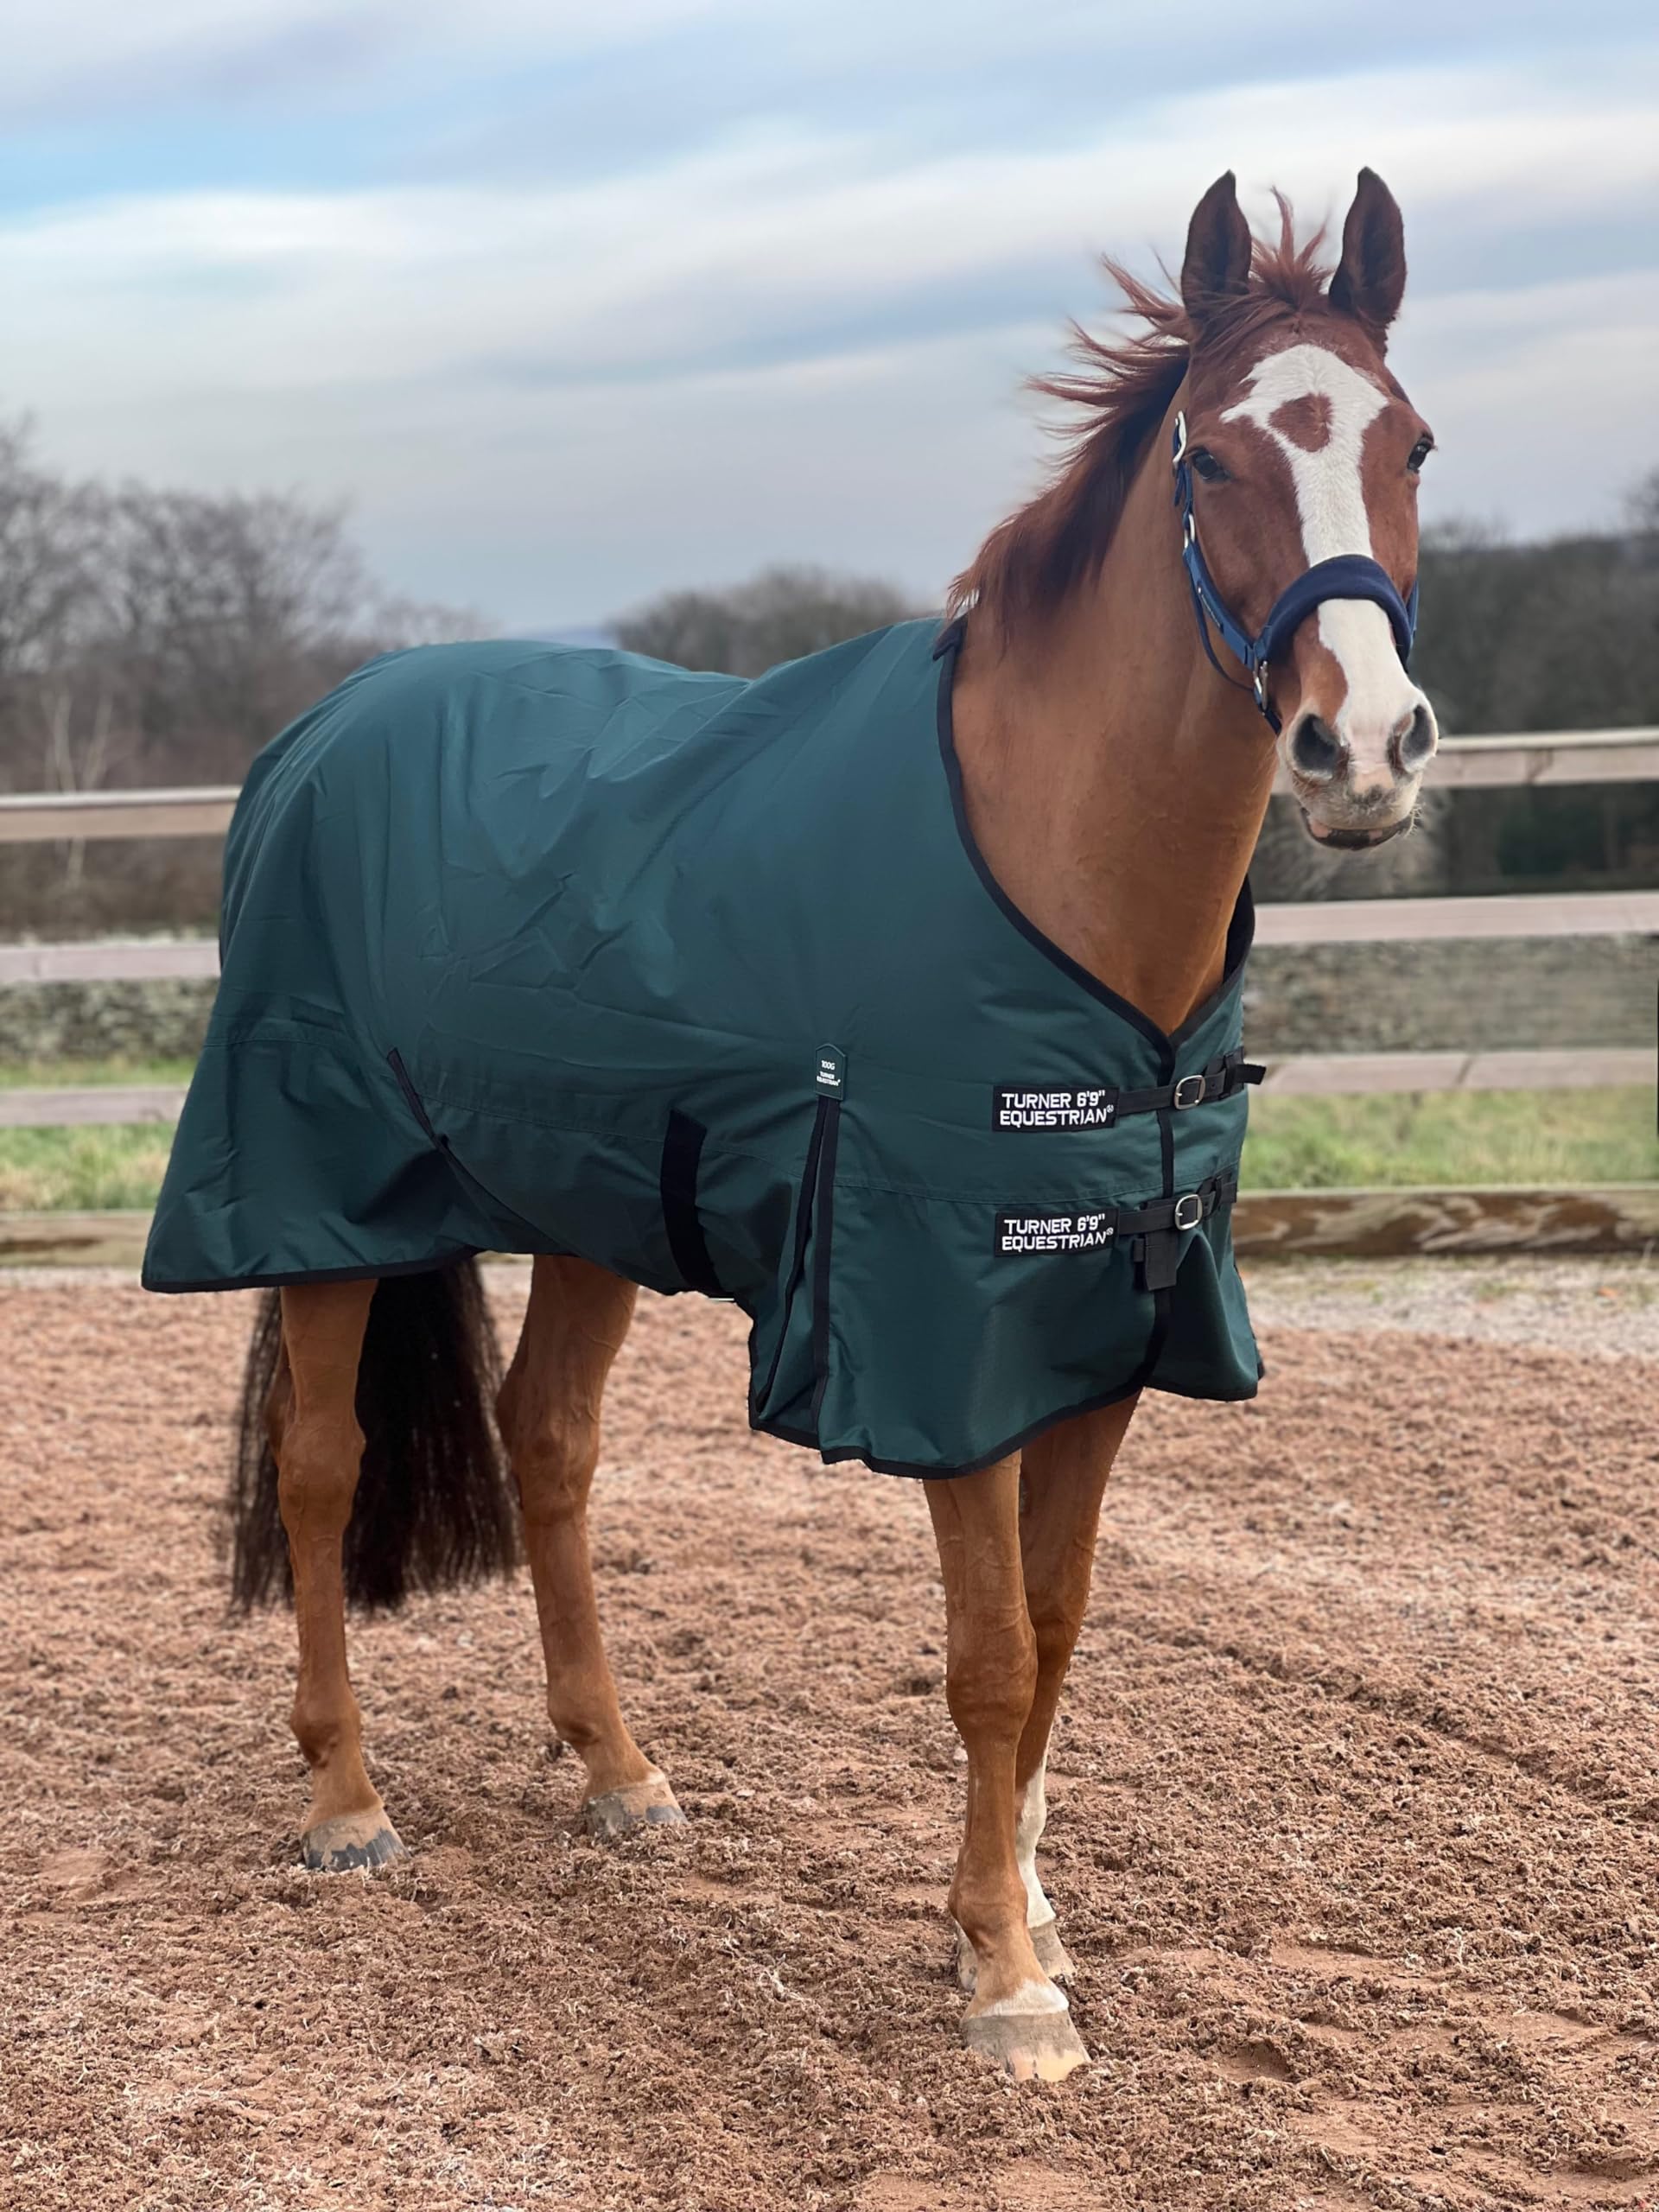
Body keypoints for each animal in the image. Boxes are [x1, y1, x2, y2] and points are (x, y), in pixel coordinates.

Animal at [151, 168, 1438, 2084]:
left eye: (1411, 443)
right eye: (1211, 460)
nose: (1365, 751)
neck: (1066, 889)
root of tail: (317, 733)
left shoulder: (1104, 1335)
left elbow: (1058, 1630)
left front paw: (1028, 1911)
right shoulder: (940, 1342)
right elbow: (988, 1654)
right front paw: (1006, 1983)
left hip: (593, 1203)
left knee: (548, 1443)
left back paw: (620, 1777)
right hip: (325, 1205)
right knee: (322, 1465)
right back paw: (345, 1803)